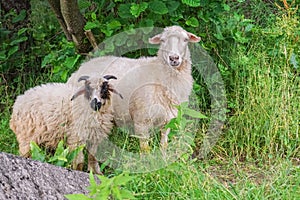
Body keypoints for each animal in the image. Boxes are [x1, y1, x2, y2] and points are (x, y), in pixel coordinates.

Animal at [67, 25, 200, 152]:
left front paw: (164, 158)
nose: (173, 58)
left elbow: (164, 144)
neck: (157, 75)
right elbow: (145, 150)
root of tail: (77, 71)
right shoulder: (141, 120)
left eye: (185, 39)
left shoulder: (169, 119)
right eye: (162, 40)